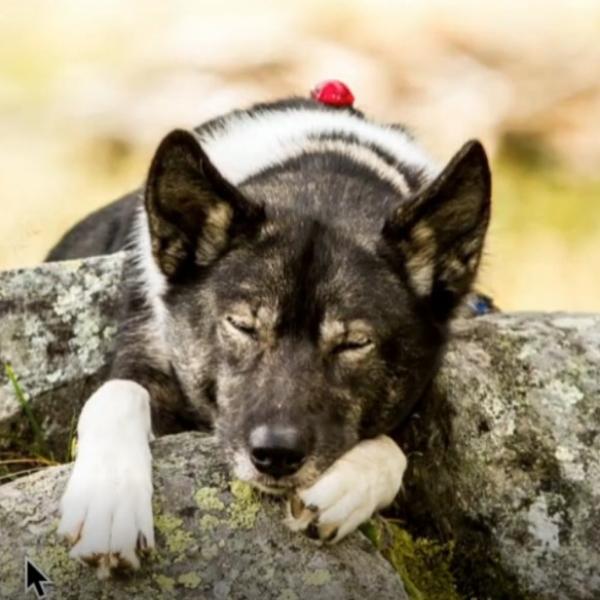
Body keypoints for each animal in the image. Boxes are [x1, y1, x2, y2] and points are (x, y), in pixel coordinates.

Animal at [48, 91, 491, 577]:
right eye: (242, 325)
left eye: (354, 343)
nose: (276, 456)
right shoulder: (146, 343)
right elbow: (117, 396)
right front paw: (108, 504)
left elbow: (397, 448)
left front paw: (349, 485)